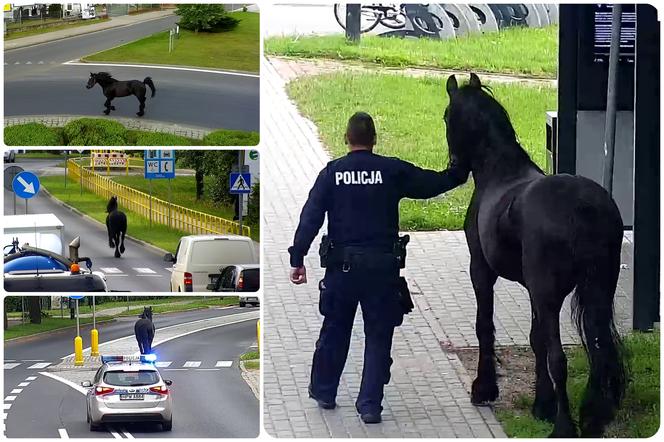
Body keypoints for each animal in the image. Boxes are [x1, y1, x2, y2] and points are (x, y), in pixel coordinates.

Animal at [444, 74, 624, 436]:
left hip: (550, 293)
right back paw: (593, 418)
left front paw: (484, 388)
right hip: (598, 289)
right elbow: (535, 338)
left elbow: (485, 325)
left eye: (446, 117)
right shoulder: (533, 291)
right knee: (599, 349)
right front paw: (542, 404)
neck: (500, 170)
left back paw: (565, 427)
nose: (454, 167)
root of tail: (583, 205)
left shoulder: (481, 270)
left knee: (560, 358)